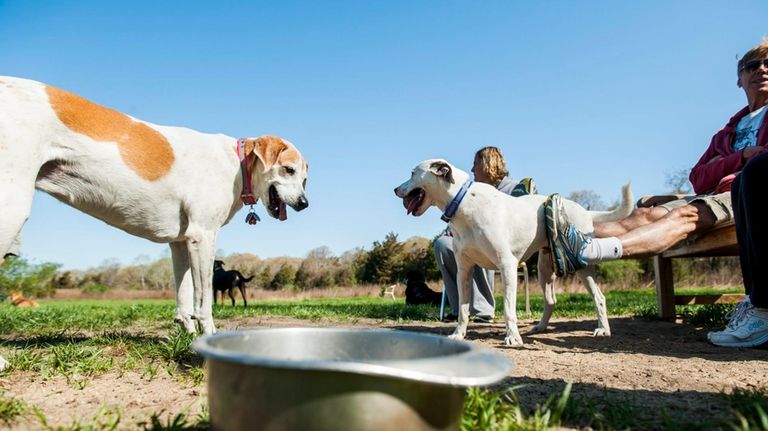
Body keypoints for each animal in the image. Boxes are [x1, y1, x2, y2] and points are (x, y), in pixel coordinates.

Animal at [0, 76, 308, 370]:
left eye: (305, 178)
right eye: (288, 170)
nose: (305, 203)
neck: (236, 164)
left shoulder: (181, 243)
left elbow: (184, 299)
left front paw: (188, 336)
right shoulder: (203, 236)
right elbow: (203, 303)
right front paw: (208, 339)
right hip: (12, 208)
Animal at [392, 160, 632, 346]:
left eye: (412, 174)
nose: (394, 189)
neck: (464, 202)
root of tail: (585, 211)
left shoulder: (507, 266)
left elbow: (508, 308)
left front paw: (513, 337)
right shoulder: (464, 270)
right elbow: (462, 309)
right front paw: (458, 334)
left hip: (581, 265)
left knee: (599, 297)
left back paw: (603, 329)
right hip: (545, 268)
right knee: (551, 300)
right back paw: (540, 327)